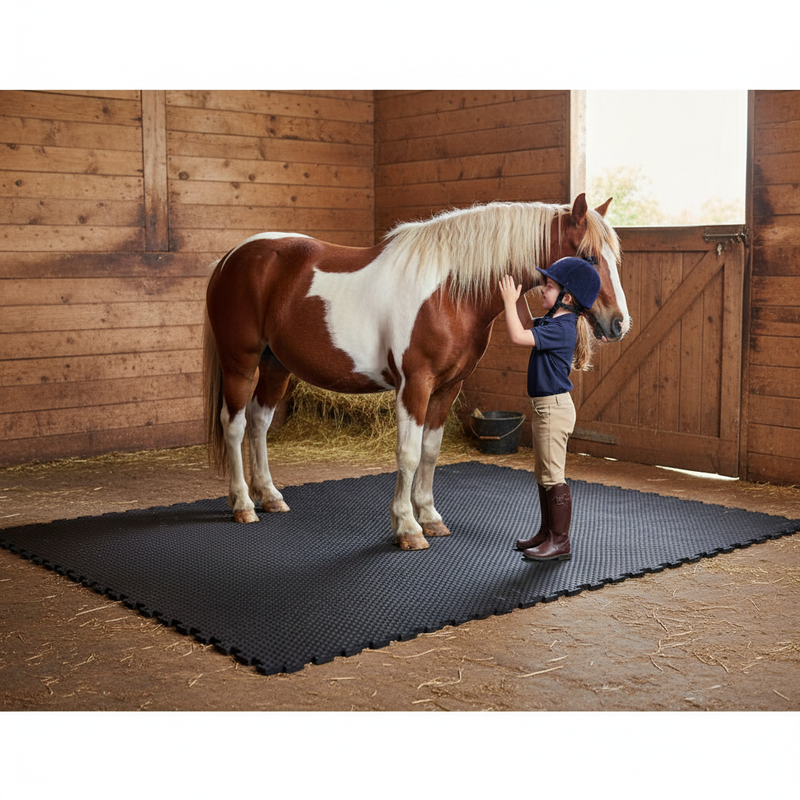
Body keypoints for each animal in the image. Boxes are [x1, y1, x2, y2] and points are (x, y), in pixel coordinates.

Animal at [203, 193, 630, 550]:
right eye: (589, 257)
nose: (618, 324)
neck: (450, 292)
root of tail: (230, 258)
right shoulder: (415, 386)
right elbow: (407, 454)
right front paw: (408, 527)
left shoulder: (447, 388)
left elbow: (431, 450)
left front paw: (430, 517)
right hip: (241, 362)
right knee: (235, 425)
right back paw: (243, 504)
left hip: (275, 366)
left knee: (259, 423)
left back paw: (270, 496)